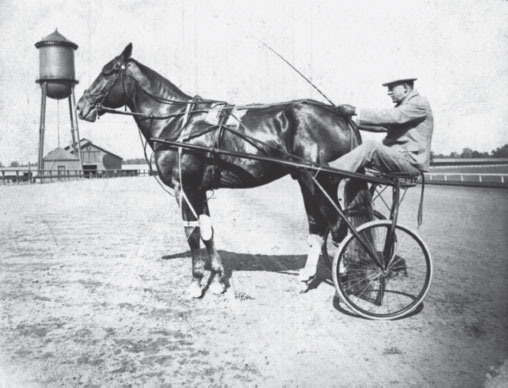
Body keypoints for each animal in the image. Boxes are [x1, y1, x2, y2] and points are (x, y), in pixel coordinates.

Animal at [76, 43, 374, 298]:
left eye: (107, 71)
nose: (81, 106)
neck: (179, 123)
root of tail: (339, 113)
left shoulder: (185, 188)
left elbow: (193, 234)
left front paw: (196, 283)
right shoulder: (199, 190)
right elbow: (208, 233)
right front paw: (218, 280)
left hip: (320, 182)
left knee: (335, 228)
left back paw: (334, 277)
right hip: (310, 182)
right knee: (322, 228)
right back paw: (315, 277)